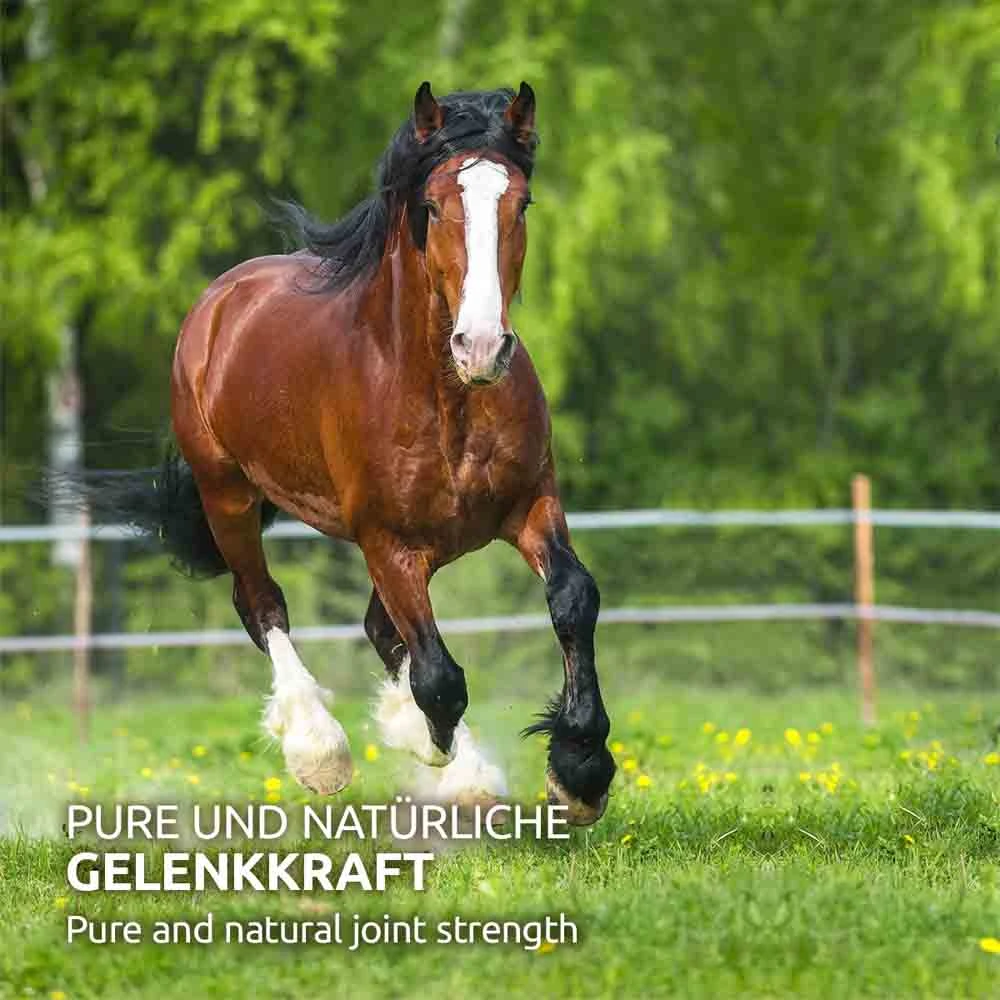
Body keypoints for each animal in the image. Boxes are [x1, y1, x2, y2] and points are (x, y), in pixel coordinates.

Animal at [105, 82, 615, 825]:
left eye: (520, 203)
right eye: (432, 205)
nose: (481, 347)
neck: (445, 396)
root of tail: (220, 299)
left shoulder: (529, 502)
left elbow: (573, 597)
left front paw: (579, 771)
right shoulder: (386, 540)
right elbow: (439, 677)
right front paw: (428, 745)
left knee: (379, 627)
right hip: (228, 494)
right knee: (262, 603)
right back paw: (321, 752)